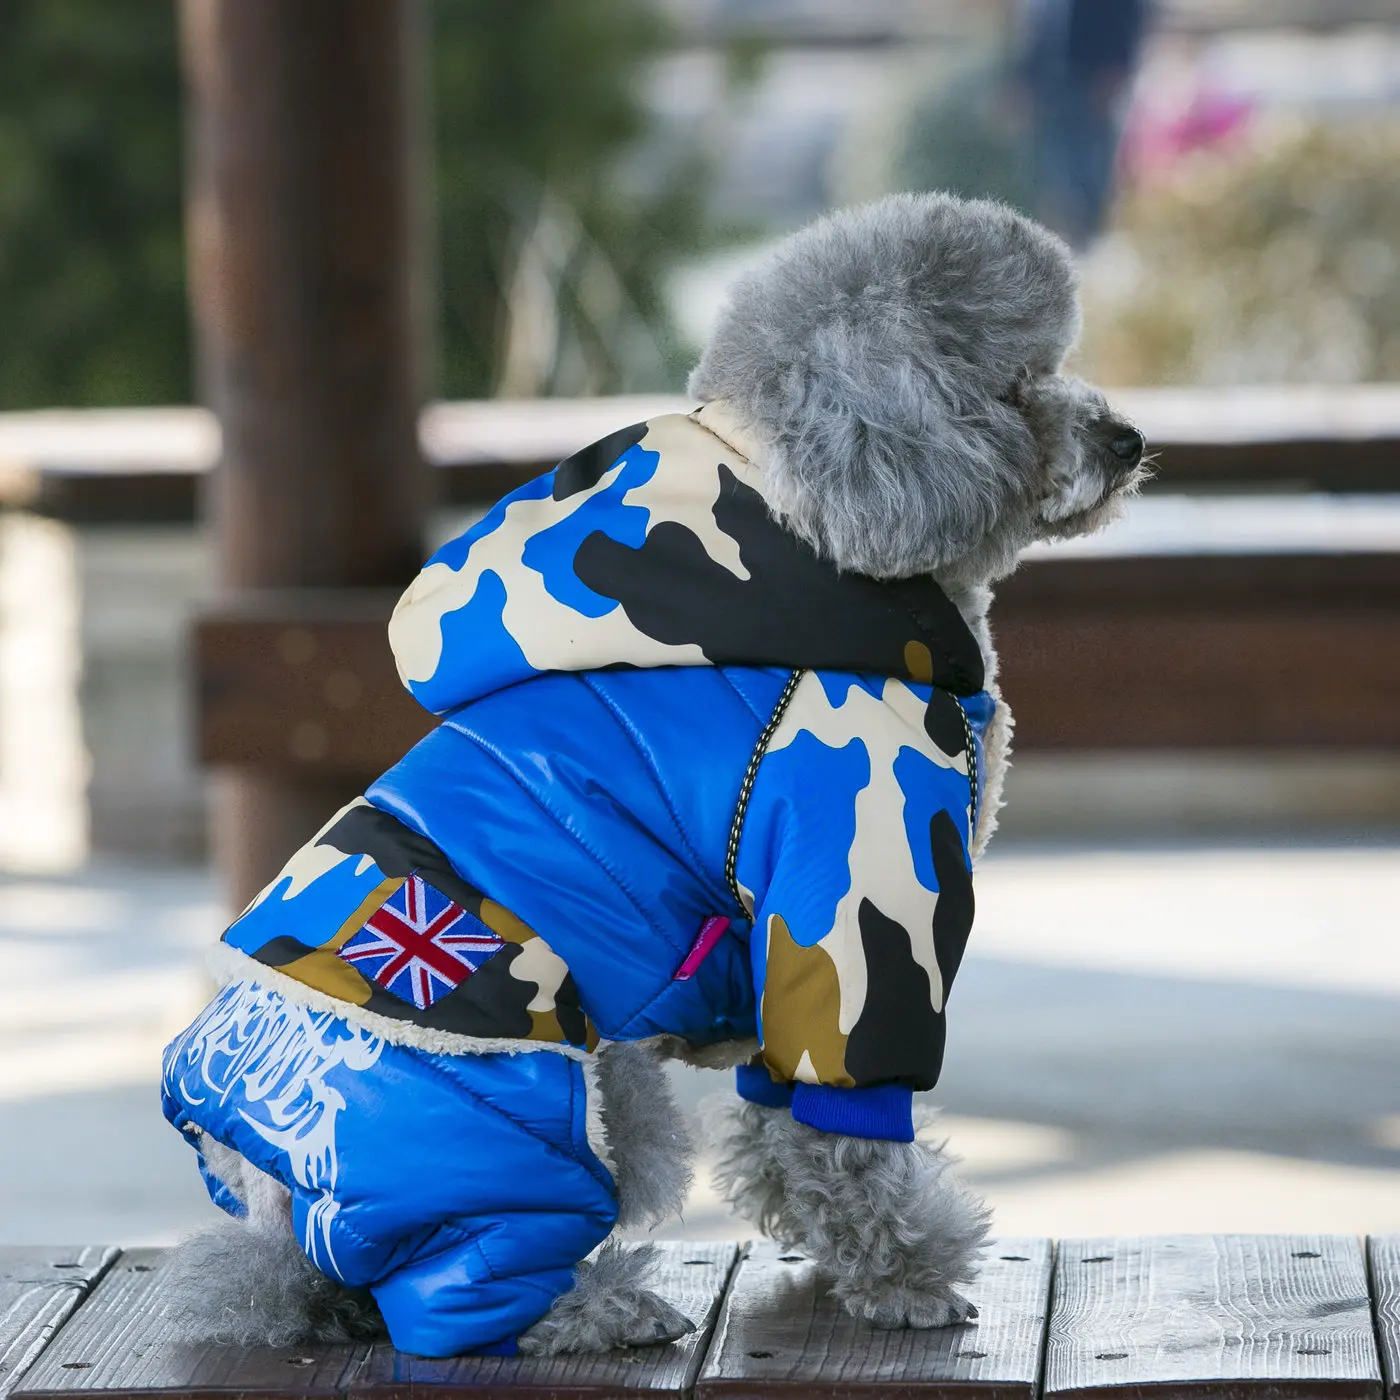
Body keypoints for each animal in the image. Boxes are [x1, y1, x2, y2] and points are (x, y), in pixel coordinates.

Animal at [161, 189, 1148, 1355]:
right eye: (1013, 383)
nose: (1130, 440)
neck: (816, 535)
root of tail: (275, 1198)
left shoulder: (785, 948)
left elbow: (784, 1121)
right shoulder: (851, 896)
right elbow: (849, 1128)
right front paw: (904, 1271)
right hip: (566, 1101)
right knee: (456, 1296)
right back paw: (598, 1304)